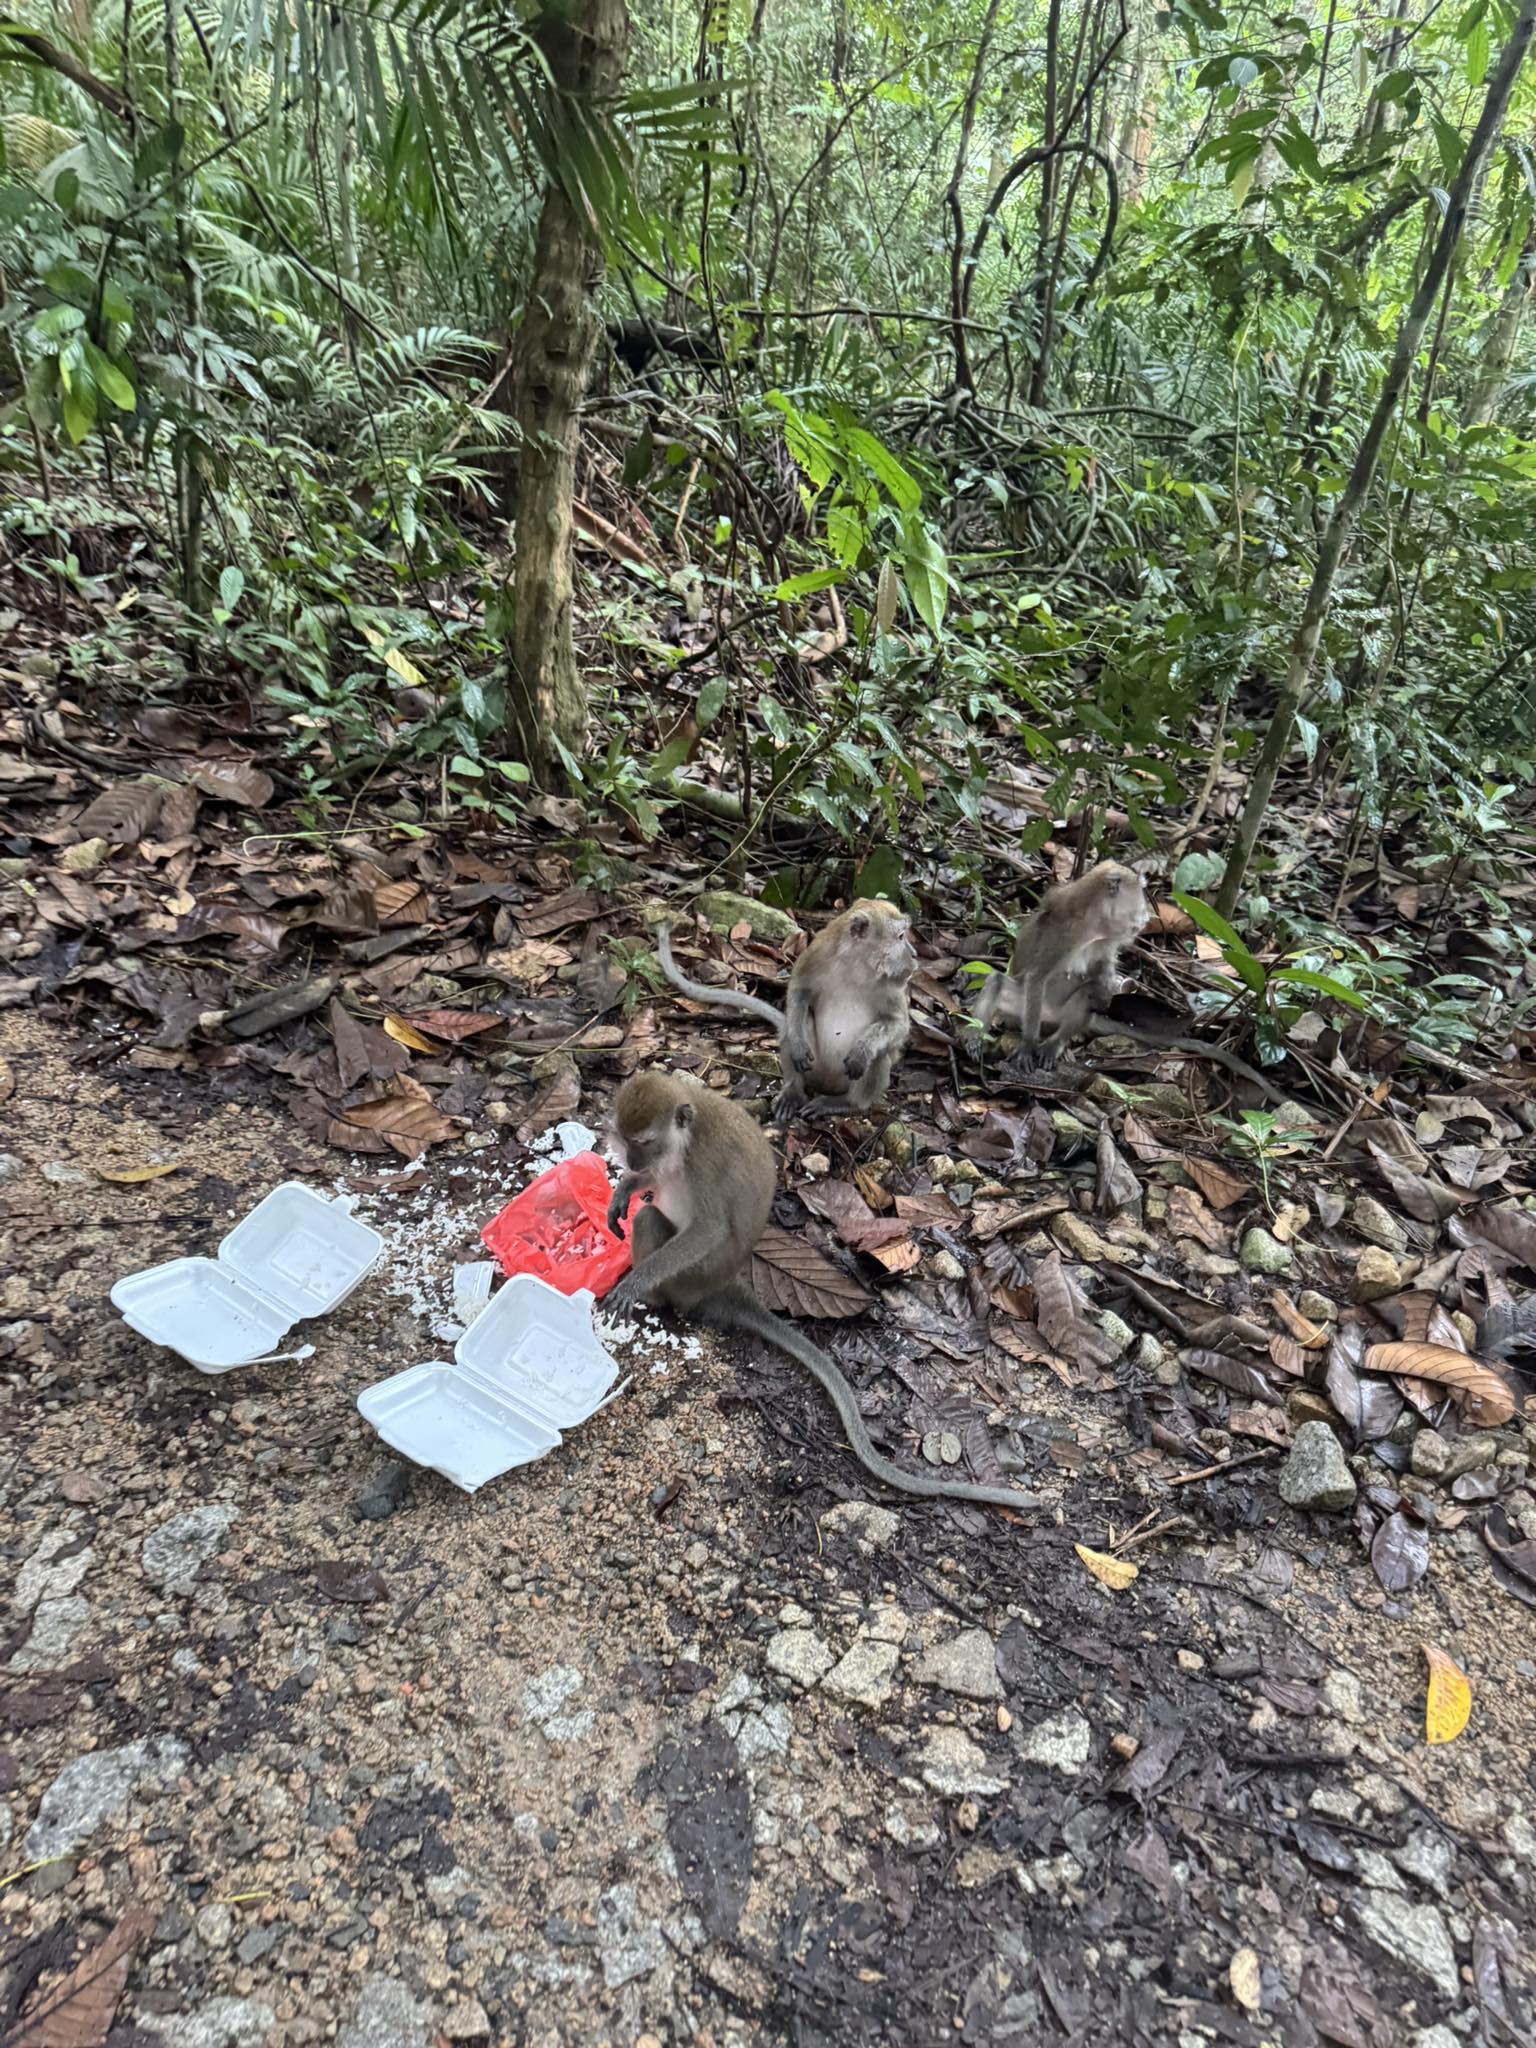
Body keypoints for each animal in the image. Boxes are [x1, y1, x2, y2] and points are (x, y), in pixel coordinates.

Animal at [600, 1070, 1043, 1514]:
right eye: (626, 1138)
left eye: (645, 1141)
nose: (632, 1162)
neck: (685, 1137)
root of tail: (722, 1285)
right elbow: (657, 1183)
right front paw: (624, 1189)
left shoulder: (701, 1163)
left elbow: (709, 1229)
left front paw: (635, 1281)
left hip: (689, 1279)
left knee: (650, 1221)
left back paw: (651, 1295)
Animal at [654, 900, 917, 1124]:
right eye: (901, 936)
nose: (914, 954)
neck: (857, 964)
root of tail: (826, 1085)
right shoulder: (815, 955)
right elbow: (798, 993)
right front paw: (798, 1045)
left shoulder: (892, 986)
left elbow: (897, 1025)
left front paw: (862, 1050)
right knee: (794, 1026)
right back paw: (794, 1091)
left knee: (880, 1055)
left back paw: (846, 1103)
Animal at [970, 861, 1150, 1067]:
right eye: (1140, 896)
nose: (1147, 917)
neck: (1091, 928)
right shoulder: (1061, 937)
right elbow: (1037, 977)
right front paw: (1028, 1044)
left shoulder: (1106, 942)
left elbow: (1101, 980)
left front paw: (1114, 986)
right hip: (1016, 1012)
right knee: (997, 982)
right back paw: (977, 1037)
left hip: (1059, 1018)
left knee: (1088, 994)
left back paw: (1055, 1044)